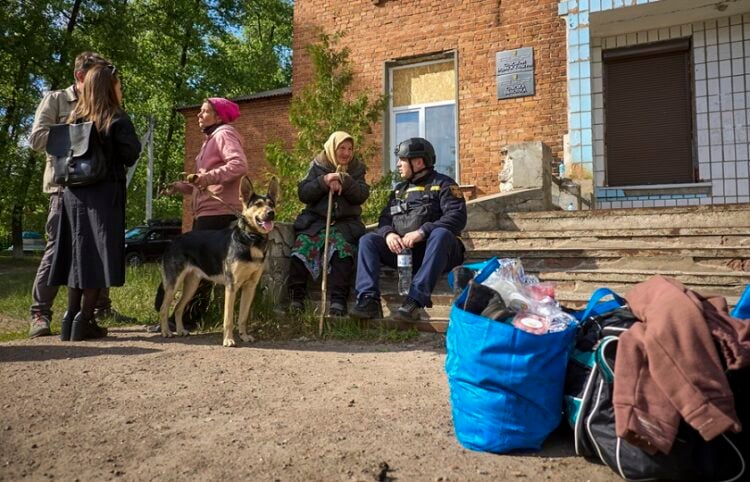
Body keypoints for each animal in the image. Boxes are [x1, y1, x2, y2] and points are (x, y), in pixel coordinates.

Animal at [156, 177, 280, 346]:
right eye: (258, 204)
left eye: (271, 204)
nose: (271, 213)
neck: (250, 240)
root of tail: (173, 241)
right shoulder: (232, 286)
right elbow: (228, 319)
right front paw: (228, 340)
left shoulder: (250, 286)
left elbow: (243, 317)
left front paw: (244, 336)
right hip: (173, 284)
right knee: (164, 308)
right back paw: (166, 332)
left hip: (192, 285)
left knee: (178, 307)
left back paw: (181, 330)